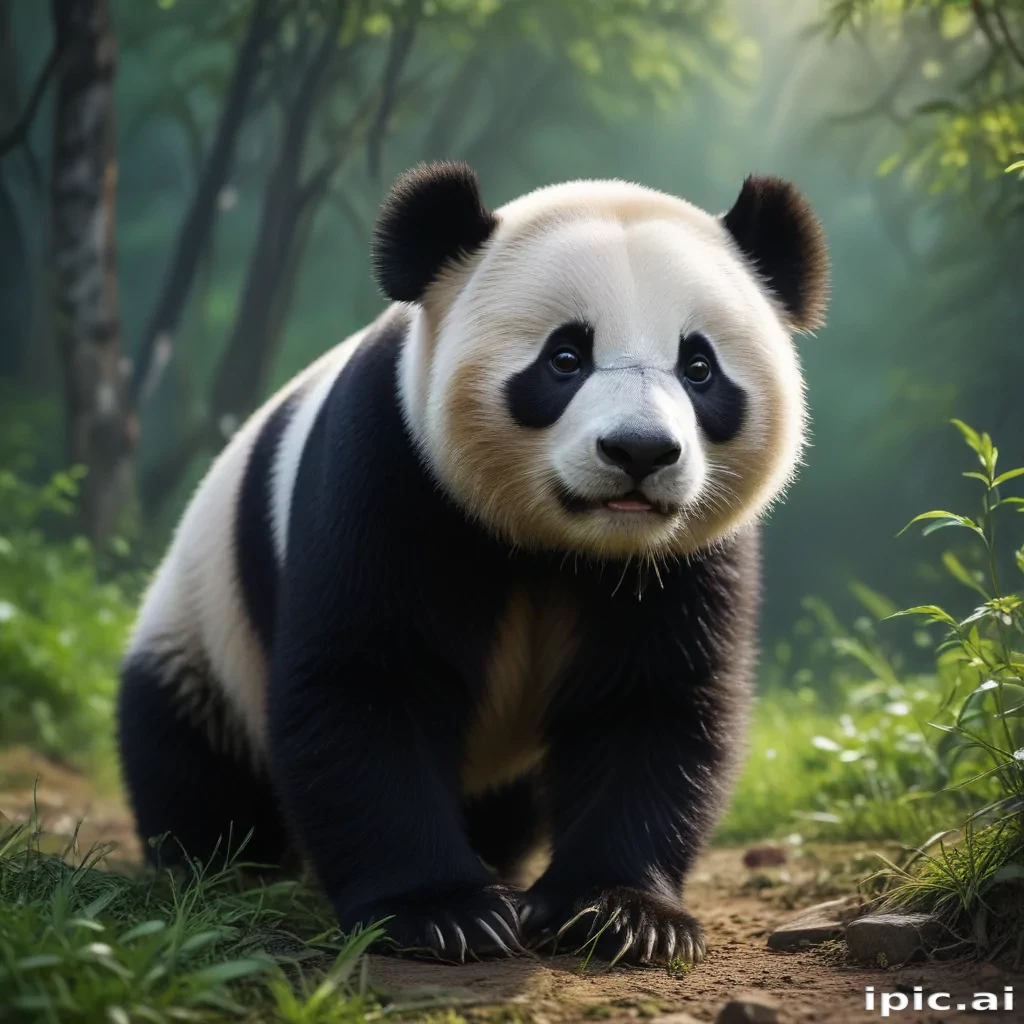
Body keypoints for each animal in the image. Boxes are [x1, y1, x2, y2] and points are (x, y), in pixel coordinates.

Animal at [118, 162, 828, 966]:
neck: (567, 546)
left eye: (700, 367)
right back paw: (218, 865)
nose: (640, 451)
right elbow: (368, 679)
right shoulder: (392, 465)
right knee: (189, 751)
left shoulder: (684, 554)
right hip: (201, 628)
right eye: (564, 357)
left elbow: (653, 699)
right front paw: (442, 913)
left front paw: (620, 913)